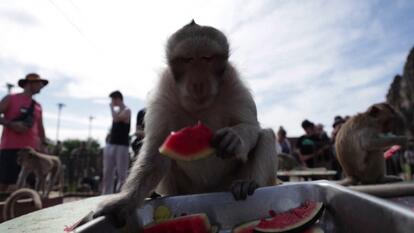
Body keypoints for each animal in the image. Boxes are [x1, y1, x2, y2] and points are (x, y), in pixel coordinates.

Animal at [94, 20, 278, 226]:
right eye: (188, 60)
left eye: (206, 58)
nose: (198, 83)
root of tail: (207, 192)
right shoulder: (164, 92)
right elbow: (156, 151)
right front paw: (123, 202)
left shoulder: (234, 82)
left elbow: (252, 126)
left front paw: (235, 137)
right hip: (186, 189)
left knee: (266, 135)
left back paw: (248, 183)